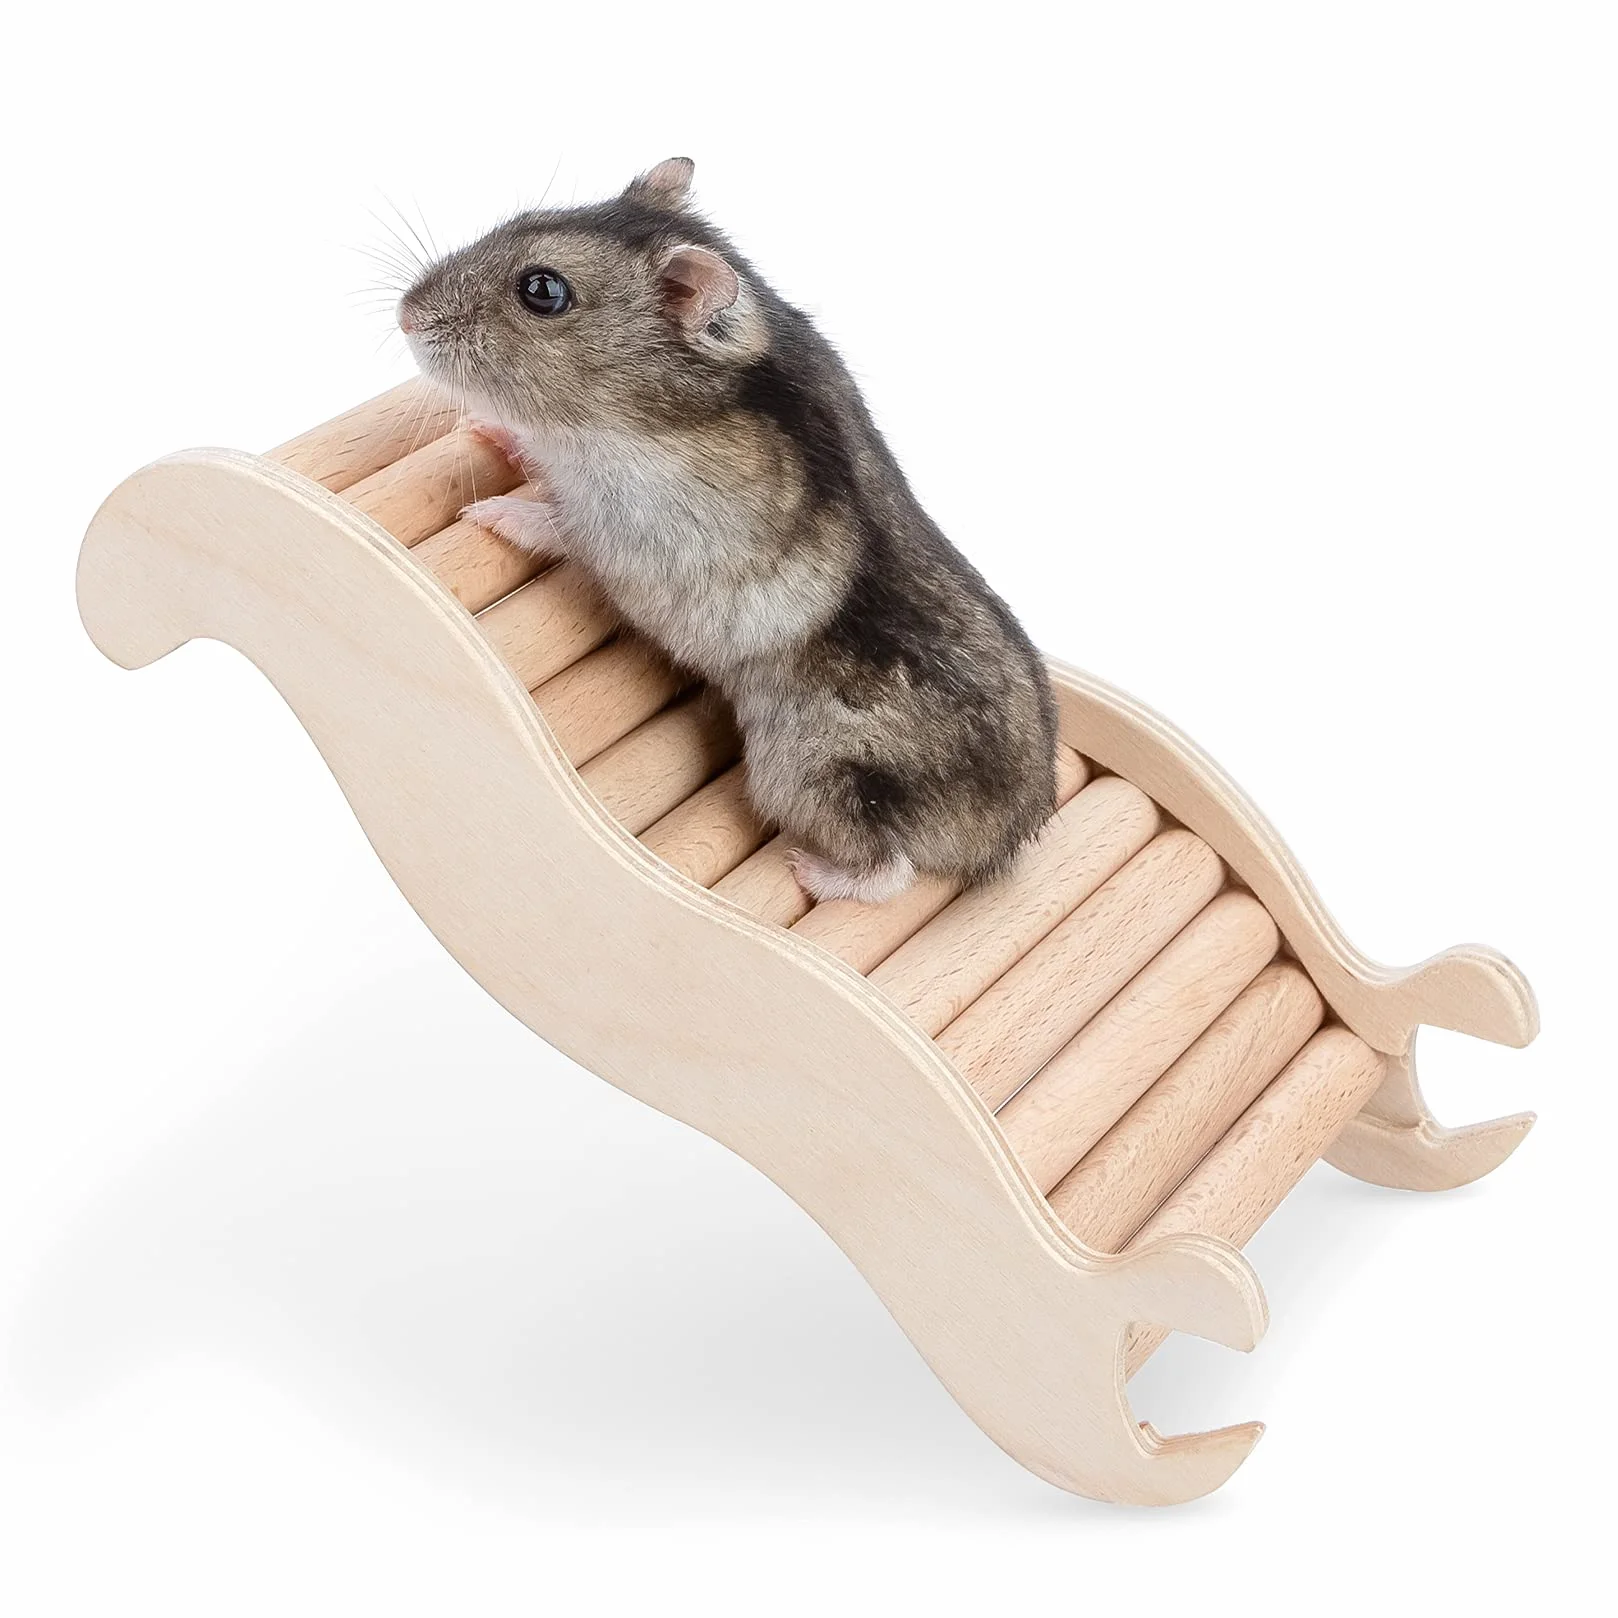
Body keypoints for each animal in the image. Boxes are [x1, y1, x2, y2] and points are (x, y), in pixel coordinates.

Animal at [398, 157, 1057, 903]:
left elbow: (560, 525)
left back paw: (809, 870)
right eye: (518, 221)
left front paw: (484, 513)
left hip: (809, 771)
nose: (404, 313)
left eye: (542, 290)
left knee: (891, 871)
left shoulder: (634, 532)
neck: (630, 415)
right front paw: (487, 431)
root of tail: (1006, 840)